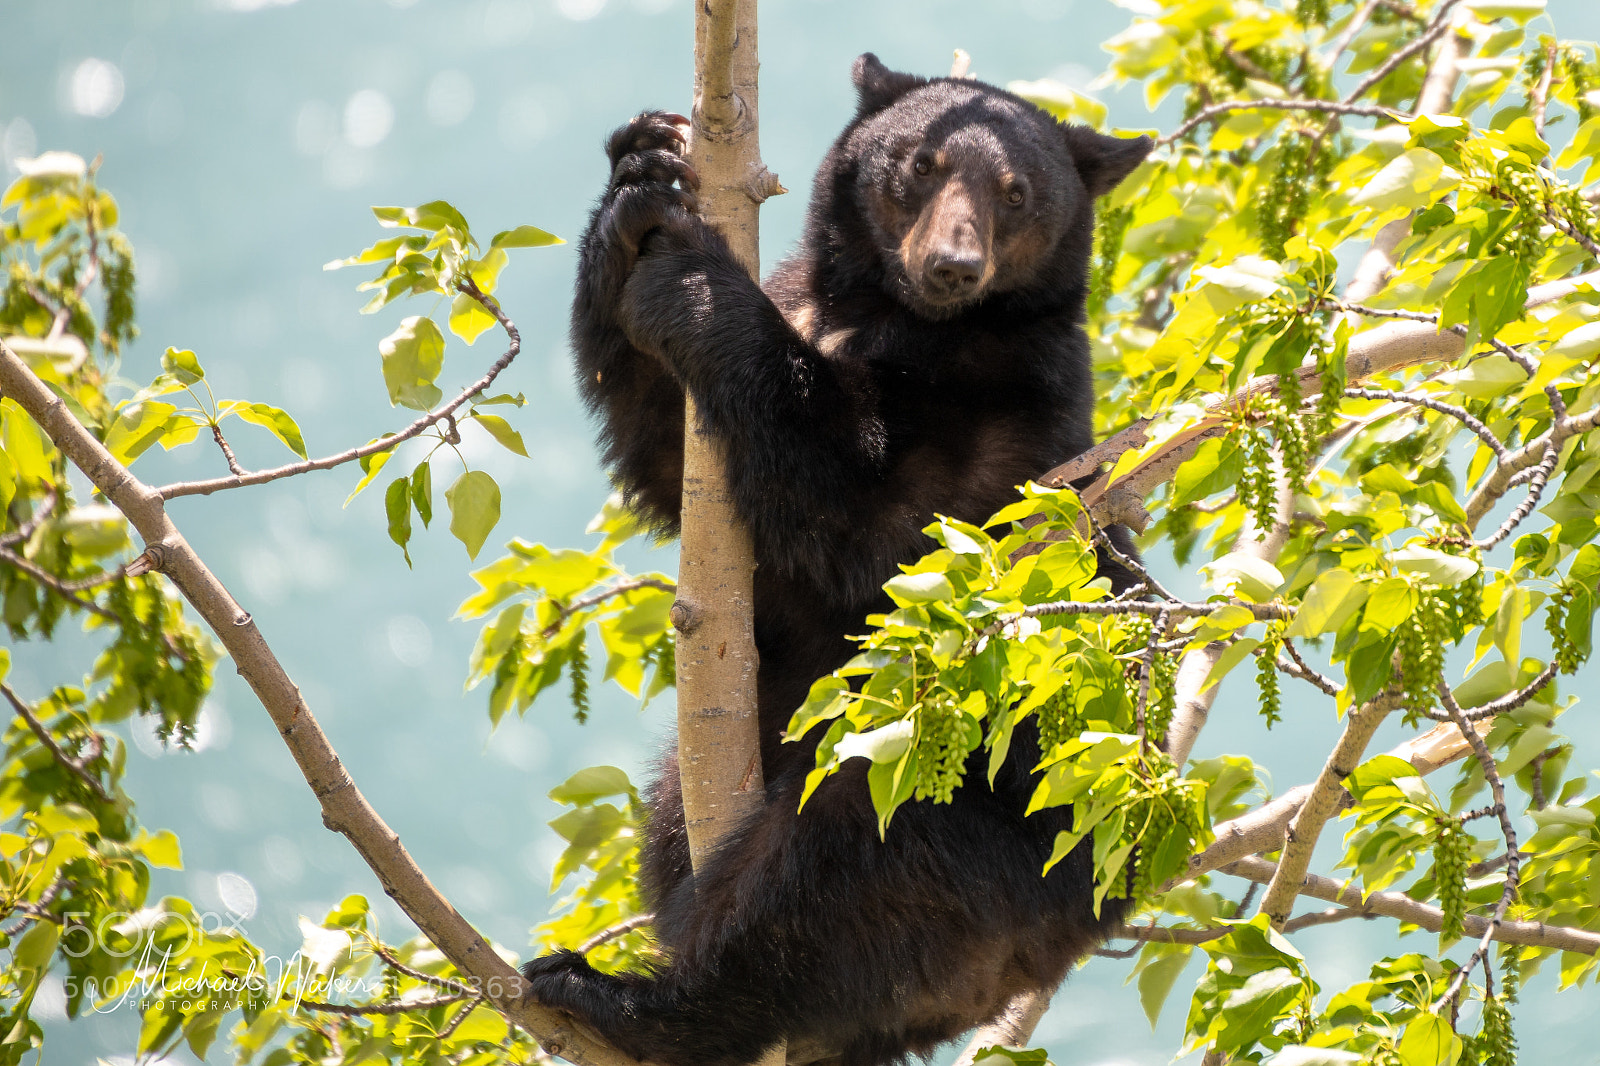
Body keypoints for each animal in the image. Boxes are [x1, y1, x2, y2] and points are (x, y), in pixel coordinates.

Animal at [522, 53, 1153, 1066]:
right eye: (922, 165)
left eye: (1017, 193)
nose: (952, 265)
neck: (892, 316)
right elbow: (670, 460)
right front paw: (641, 175)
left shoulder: (1005, 419)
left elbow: (877, 525)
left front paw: (691, 273)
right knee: (673, 818)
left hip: (951, 806)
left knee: (812, 883)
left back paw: (628, 1001)